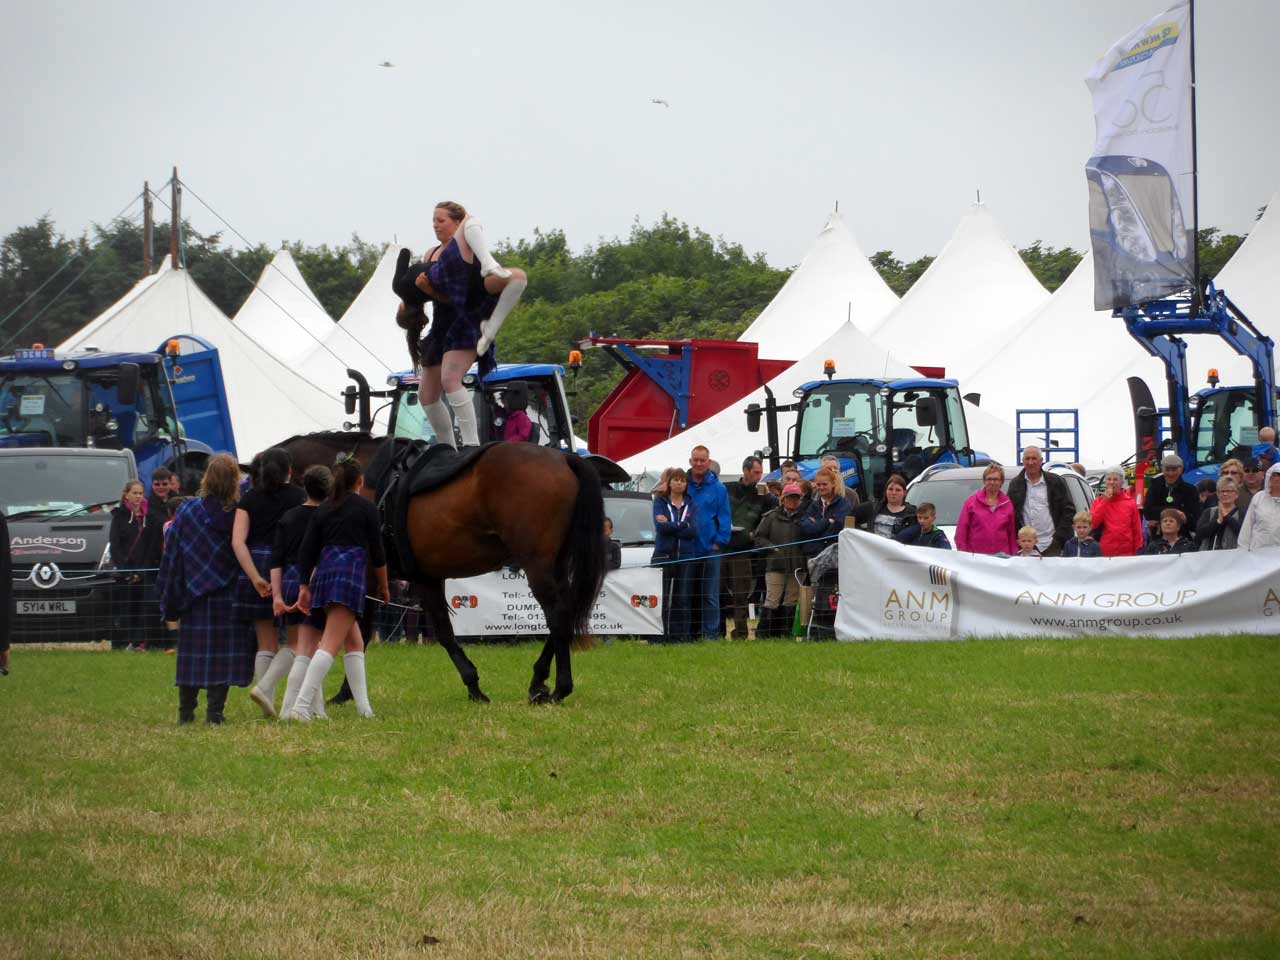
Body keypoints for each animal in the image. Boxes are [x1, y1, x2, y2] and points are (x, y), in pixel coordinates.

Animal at [277, 432, 606, 701]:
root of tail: (564, 458)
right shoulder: (426, 578)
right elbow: (441, 632)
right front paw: (473, 685)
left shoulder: (372, 577)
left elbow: (364, 631)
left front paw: (347, 691)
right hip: (555, 565)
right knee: (565, 613)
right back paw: (539, 681)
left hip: (537, 565)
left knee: (557, 615)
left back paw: (560, 687)